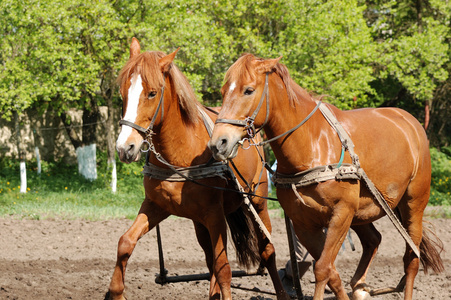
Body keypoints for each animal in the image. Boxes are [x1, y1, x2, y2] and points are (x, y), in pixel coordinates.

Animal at [106, 40, 290, 300]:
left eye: (152, 93)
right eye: (123, 93)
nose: (125, 147)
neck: (180, 155)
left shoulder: (215, 215)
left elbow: (224, 269)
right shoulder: (156, 206)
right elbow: (125, 242)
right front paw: (116, 291)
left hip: (256, 203)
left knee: (267, 251)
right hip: (199, 222)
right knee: (209, 258)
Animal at [209, 54, 444, 300]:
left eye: (248, 90)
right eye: (224, 91)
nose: (218, 143)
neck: (311, 146)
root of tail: (409, 120)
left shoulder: (341, 213)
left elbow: (322, 269)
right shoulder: (304, 223)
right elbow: (331, 272)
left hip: (413, 204)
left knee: (412, 259)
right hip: (362, 211)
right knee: (373, 240)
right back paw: (359, 287)